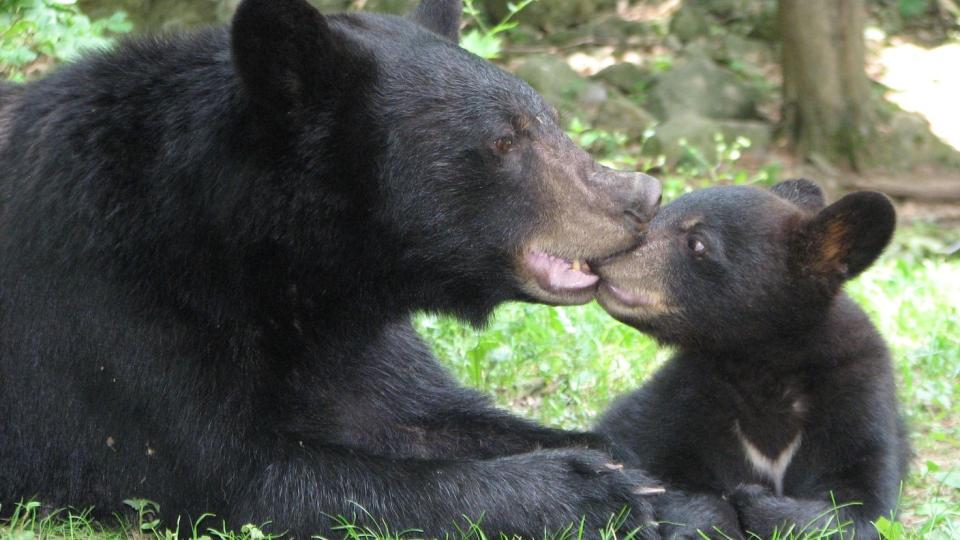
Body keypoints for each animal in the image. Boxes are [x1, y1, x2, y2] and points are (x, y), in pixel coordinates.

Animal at [0, 0, 668, 536]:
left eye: (548, 118)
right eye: (504, 140)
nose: (642, 196)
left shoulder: (355, 341)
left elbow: (423, 413)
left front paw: (626, 465)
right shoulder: (115, 316)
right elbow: (240, 475)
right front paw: (589, 490)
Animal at [592, 181, 908, 540]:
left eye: (697, 243)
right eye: (663, 211)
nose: (603, 254)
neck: (762, 366)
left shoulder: (858, 395)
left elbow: (860, 508)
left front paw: (753, 498)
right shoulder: (687, 395)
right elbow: (661, 473)